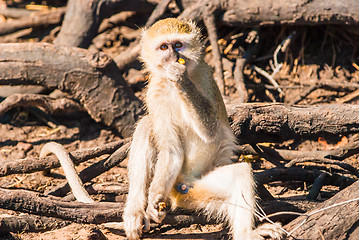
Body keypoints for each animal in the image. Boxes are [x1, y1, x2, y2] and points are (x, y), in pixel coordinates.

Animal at [124, 17, 284, 239]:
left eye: (178, 45)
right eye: (164, 47)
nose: (174, 57)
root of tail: (181, 185)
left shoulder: (206, 76)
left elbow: (211, 132)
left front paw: (181, 79)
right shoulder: (153, 93)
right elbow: (172, 150)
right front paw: (155, 196)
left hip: (197, 188)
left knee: (240, 172)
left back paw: (246, 234)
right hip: (180, 187)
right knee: (147, 125)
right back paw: (135, 210)